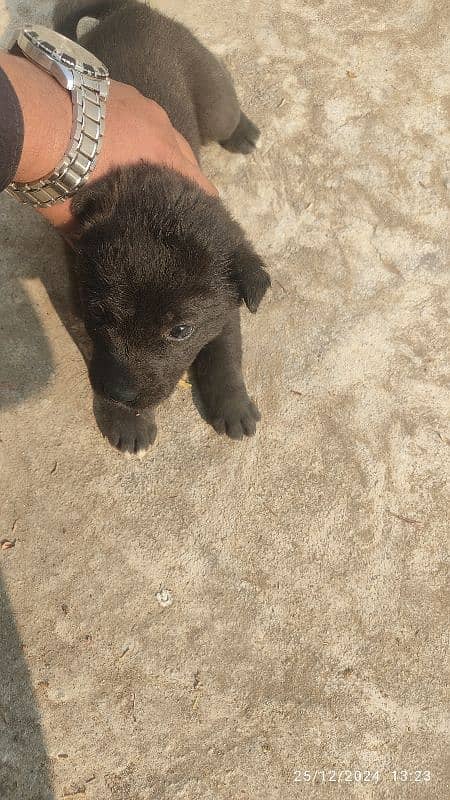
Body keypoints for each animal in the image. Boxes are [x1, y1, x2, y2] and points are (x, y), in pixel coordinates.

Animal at [52, 0, 270, 454]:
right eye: (100, 313)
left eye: (180, 330)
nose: (122, 392)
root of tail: (132, 10)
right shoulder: (76, 302)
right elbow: (94, 351)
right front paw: (127, 419)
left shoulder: (227, 305)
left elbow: (225, 356)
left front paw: (234, 407)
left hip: (213, 101)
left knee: (227, 114)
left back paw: (244, 133)